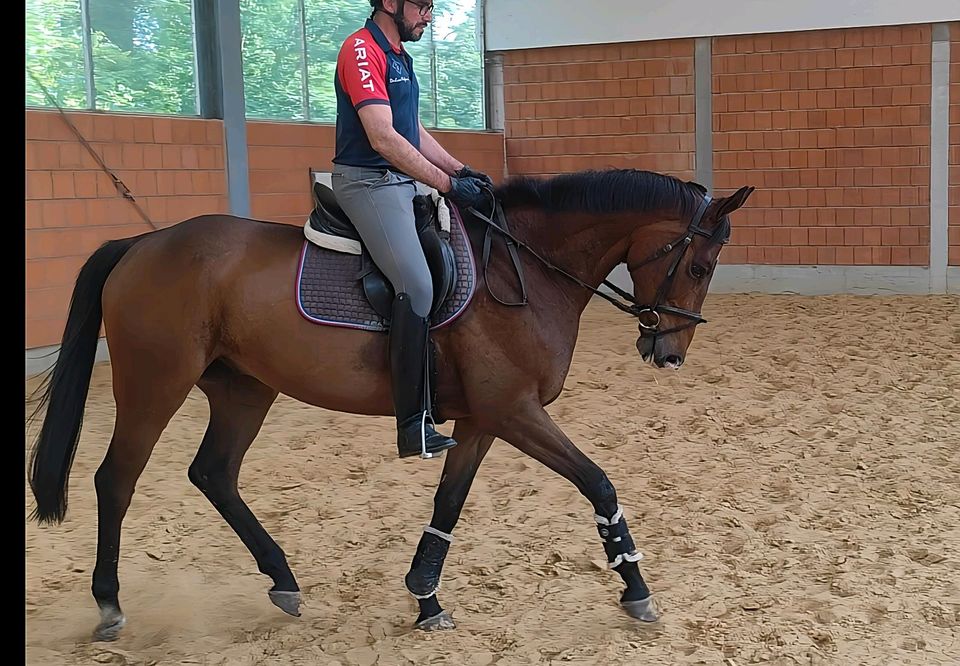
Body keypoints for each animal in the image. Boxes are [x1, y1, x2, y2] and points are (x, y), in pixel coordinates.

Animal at [26, 167, 752, 640]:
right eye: (699, 267)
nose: (669, 352)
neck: (524, 268)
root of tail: (142, 245)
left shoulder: (483, 419)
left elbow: (448, 504)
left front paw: (425, 597)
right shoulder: (515, 411)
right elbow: (599, 483)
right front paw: (637, 591)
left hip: (244, 388)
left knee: (213, 473)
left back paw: (283, 580)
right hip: (155, 383)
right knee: (116, 479)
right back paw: (109, 604)